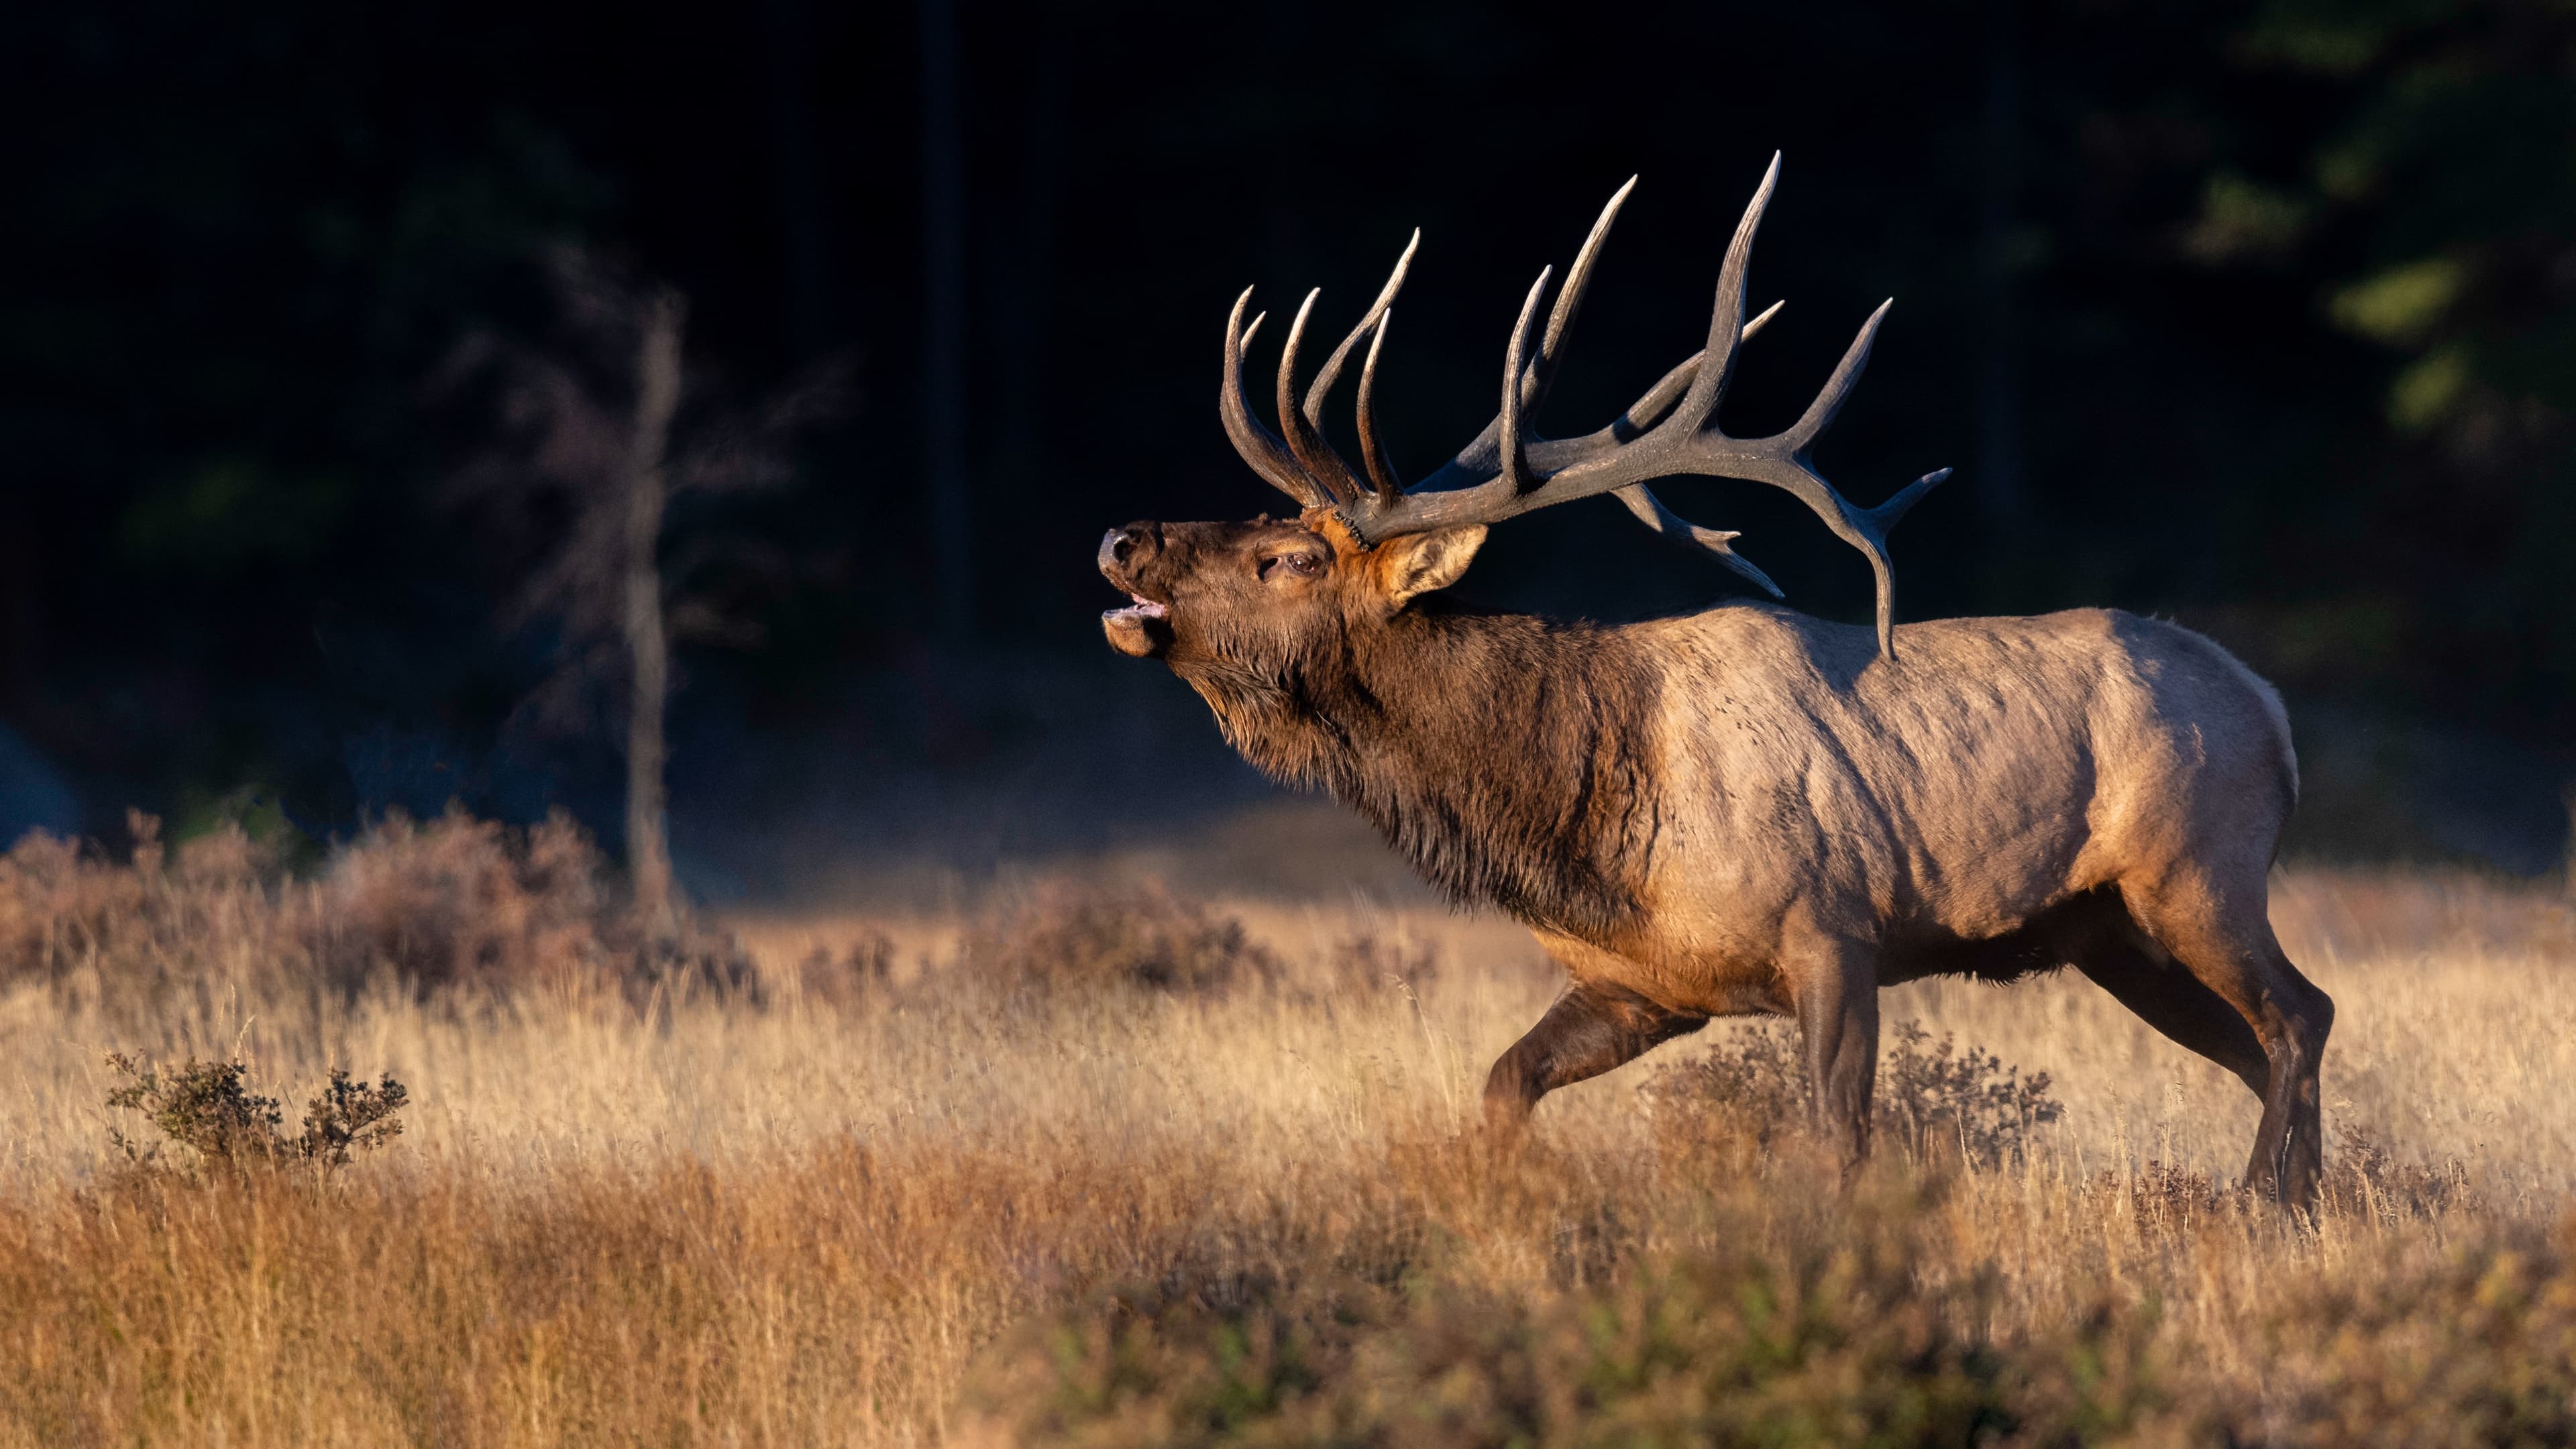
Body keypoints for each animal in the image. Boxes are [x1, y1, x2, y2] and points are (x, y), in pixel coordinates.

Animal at [1096, 157, 2333, 1206]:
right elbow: (1503, 1083)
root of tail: (2275, 712)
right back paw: (2309, 1199)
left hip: (2199, 871)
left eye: (1288, 558)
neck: (1581, 822)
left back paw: (2266, 1201)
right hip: (2111, 933)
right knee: (2256, 1043)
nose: (1120, 537)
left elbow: (1836, 1142)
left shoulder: (1834, 930)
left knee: (2299, 1014)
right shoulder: (1646, 985)